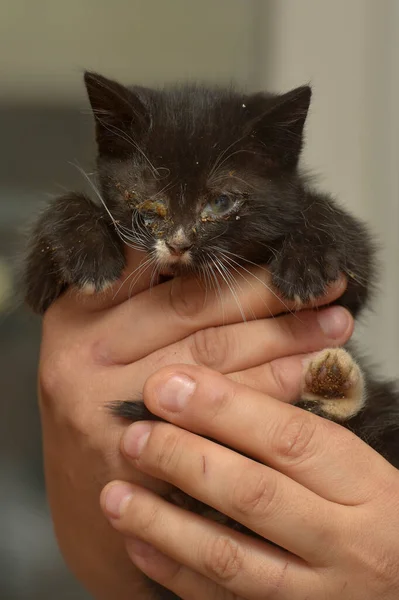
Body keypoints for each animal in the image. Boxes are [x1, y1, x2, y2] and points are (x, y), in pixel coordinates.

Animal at [24, 74, 399, 600]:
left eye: (220, 202)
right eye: (149, 201)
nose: (179, 241)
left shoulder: (348, 291)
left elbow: (347, 241)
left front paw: (308, 256)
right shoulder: (42, 290)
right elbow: (48, 244)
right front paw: (85, 247)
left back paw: (334, 382)